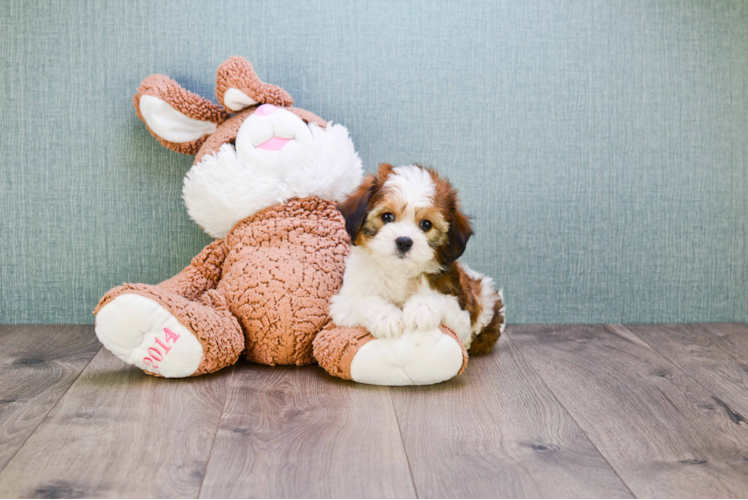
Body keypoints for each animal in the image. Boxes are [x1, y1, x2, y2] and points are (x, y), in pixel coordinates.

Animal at [330, 162, 506, 354]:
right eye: (387, 216)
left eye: (426, 224)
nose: (404, 242)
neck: (399, 270)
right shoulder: (343, 303)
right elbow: (364, 300)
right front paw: (387, 317)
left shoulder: (461, 316)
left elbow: (441, 300)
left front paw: (422, 309)